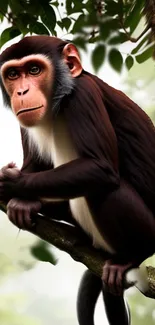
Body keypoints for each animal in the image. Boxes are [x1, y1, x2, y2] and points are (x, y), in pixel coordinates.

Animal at [0, 35, 155, 324]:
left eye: (34, 70)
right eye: (13, 74)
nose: (21, 92)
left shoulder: (84, 95)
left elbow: (100, 167)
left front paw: (7, 184)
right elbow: (34, 165)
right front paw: (24, 200)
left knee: (107, 189)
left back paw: (130, 258)